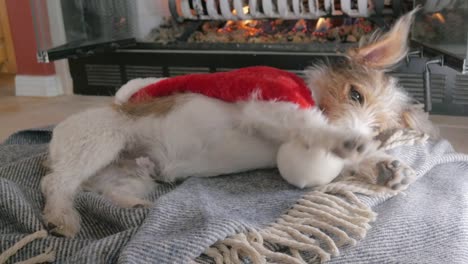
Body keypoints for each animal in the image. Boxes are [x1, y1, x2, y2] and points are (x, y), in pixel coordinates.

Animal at [41, 10, 438, 237]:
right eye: (355, 94)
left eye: (378, 130)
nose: (358, 134)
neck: (310, 92)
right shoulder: (264, 105)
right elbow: (306, 123)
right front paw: (345, 142)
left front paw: (384, 167)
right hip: (100, 140)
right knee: (56, 183)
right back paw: (61, 218)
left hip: (132, 172)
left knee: (101, 188)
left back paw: (133, 207)